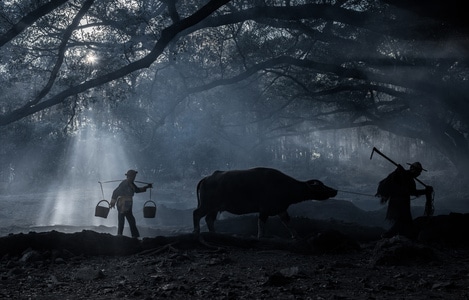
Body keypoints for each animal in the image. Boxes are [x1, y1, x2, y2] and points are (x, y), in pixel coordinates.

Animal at [193, 168, 336, 238]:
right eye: (321, 187)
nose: (334, 190)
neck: (284, 186)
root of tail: (207, 178)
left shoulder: (280, 209)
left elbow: (288, 223)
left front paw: (296, 236)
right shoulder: (265, 209)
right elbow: (261, 223)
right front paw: (261, 236)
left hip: (214, 208)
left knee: (209, 219)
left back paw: (214, 233)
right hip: (207, 205)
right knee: (196, 213)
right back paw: (196, 231)